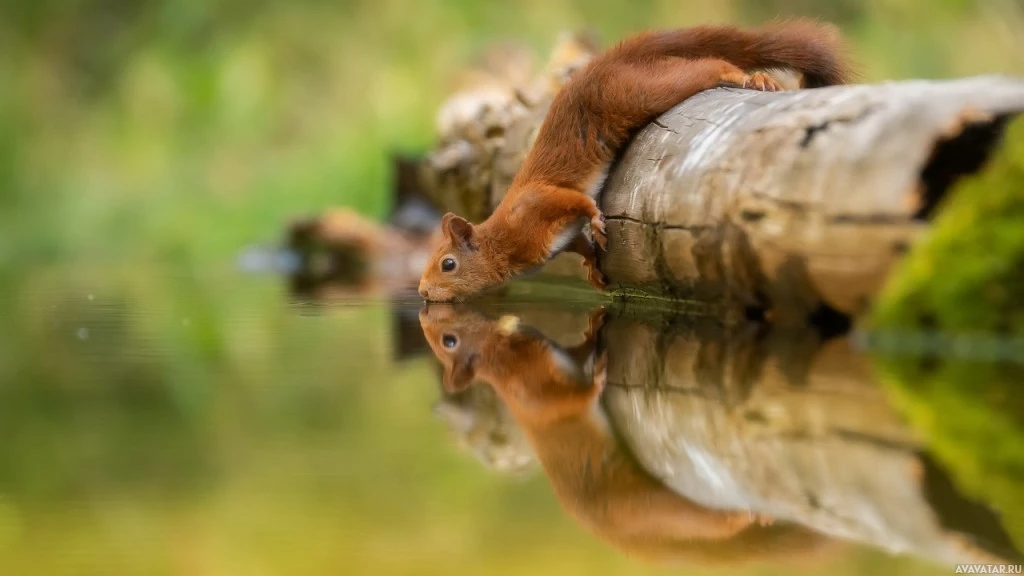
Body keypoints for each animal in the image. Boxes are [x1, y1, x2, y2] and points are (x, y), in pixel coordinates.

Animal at [417, 21, 856, 301]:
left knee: (705, 67)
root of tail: (608, 62)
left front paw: (596, 217)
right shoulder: (556, 236)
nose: (421, 292)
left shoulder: (537, 204)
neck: (505, 239)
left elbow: (574, 200)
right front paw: (593, 266)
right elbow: (579, 242)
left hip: (637, 92)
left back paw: (748, 77)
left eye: (448, 264)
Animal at [419, 303, 835, 561]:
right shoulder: (538, 393)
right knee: (712, 521)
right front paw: (599, 375)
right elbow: (571, 398)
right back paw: (750, 514)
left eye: (446, 339)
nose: (426, 306)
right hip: (650, 506)